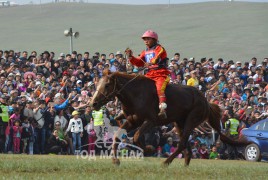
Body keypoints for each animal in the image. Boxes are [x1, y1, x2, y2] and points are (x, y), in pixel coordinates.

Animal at [91, 69, 248, 165]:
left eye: (106, 85)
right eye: (97, 84)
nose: (93, 103)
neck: (136, 95)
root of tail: (205, 101)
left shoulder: (151, 120)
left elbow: (136, 137)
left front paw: (149, 149)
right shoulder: (132, 120)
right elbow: (117, 136)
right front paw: (115, 160)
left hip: (191, 120)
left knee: (182, 144)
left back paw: (165, 163)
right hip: (179, 123)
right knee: (185, 145)